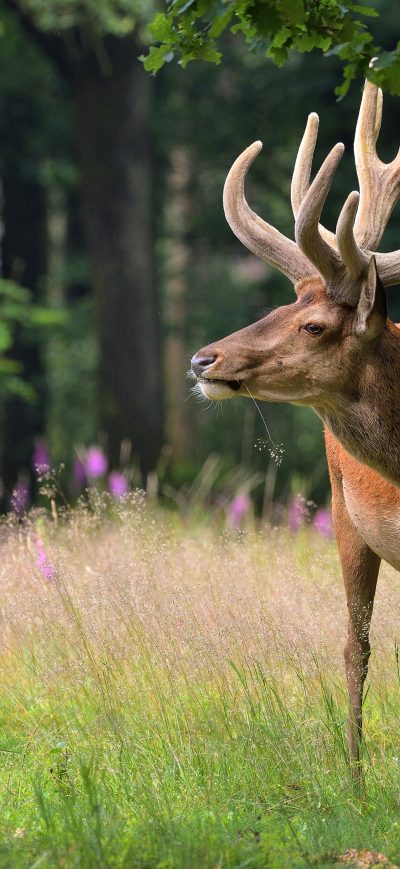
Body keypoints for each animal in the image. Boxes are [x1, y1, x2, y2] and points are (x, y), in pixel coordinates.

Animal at [191, 80, 400, 780]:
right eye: (285, 304)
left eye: (313, 325)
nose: (202, 360)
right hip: (343, 514)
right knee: (356, 646)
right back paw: (355, 777)